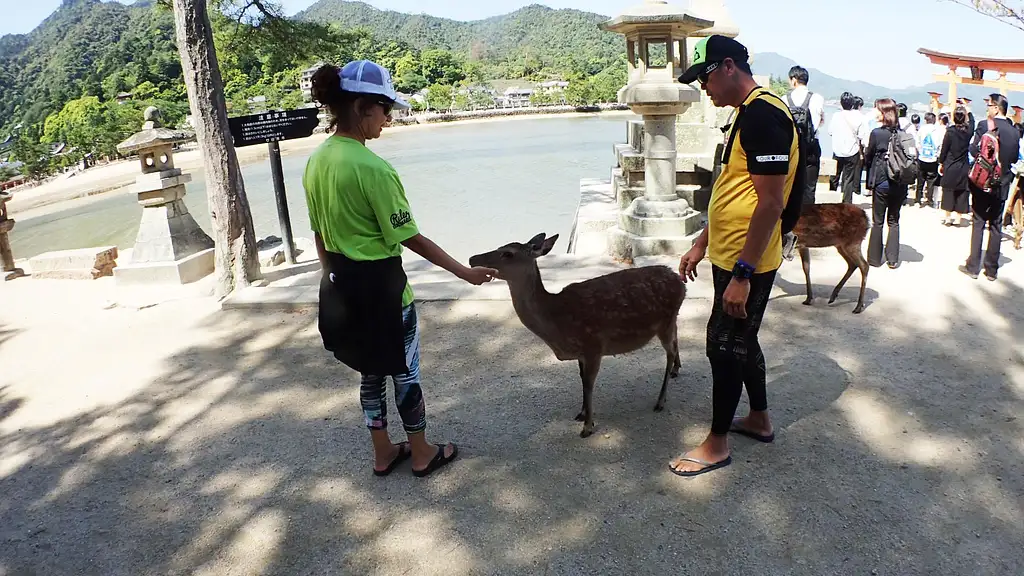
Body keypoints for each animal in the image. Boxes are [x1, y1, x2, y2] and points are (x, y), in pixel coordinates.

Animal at [468, 231, 684, 434]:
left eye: (508, 253)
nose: (472, 259)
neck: (557, 322)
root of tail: (681, 282)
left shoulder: (593, 346)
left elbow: (588, 384)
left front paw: (587, 427)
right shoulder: (582, 352)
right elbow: (581, 380)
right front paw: (581, 414)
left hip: (665, 321)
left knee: (670, 351)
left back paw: (660, 401)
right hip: (671, 320)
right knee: (675, 340)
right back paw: (676, 370)